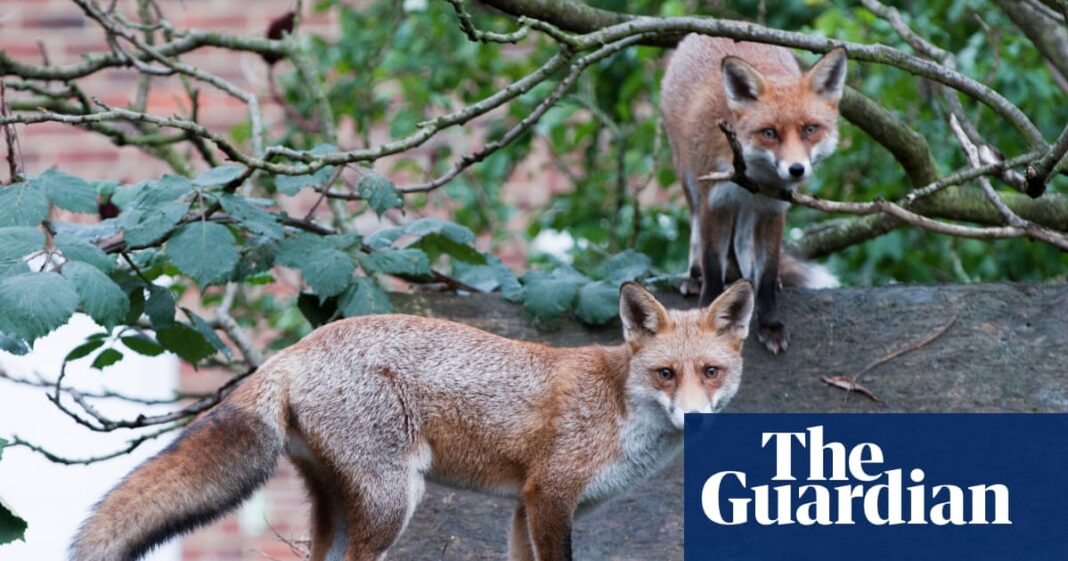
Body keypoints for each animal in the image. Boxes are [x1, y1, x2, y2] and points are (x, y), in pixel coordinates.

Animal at [70, 280, 755, 561]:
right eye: (666, 374)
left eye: (710, 372)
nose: (696, 418)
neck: (617, 405)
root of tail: (292, 350)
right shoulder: (550, 496)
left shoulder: (523, 508)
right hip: (393, 499)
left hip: (339, 507)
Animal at [660, 35, 846, 354]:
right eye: (769, 133)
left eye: (810, 129)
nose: (796, 169)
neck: (756, 176)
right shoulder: (715, 202)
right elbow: (712, 264)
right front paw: (707, 308)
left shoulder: (774, 207)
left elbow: (768, 271)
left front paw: (769, 323)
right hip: (687, 175)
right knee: (696, 230)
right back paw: (694, 277)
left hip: (750, 208)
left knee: (743, 241)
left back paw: (748, 280)